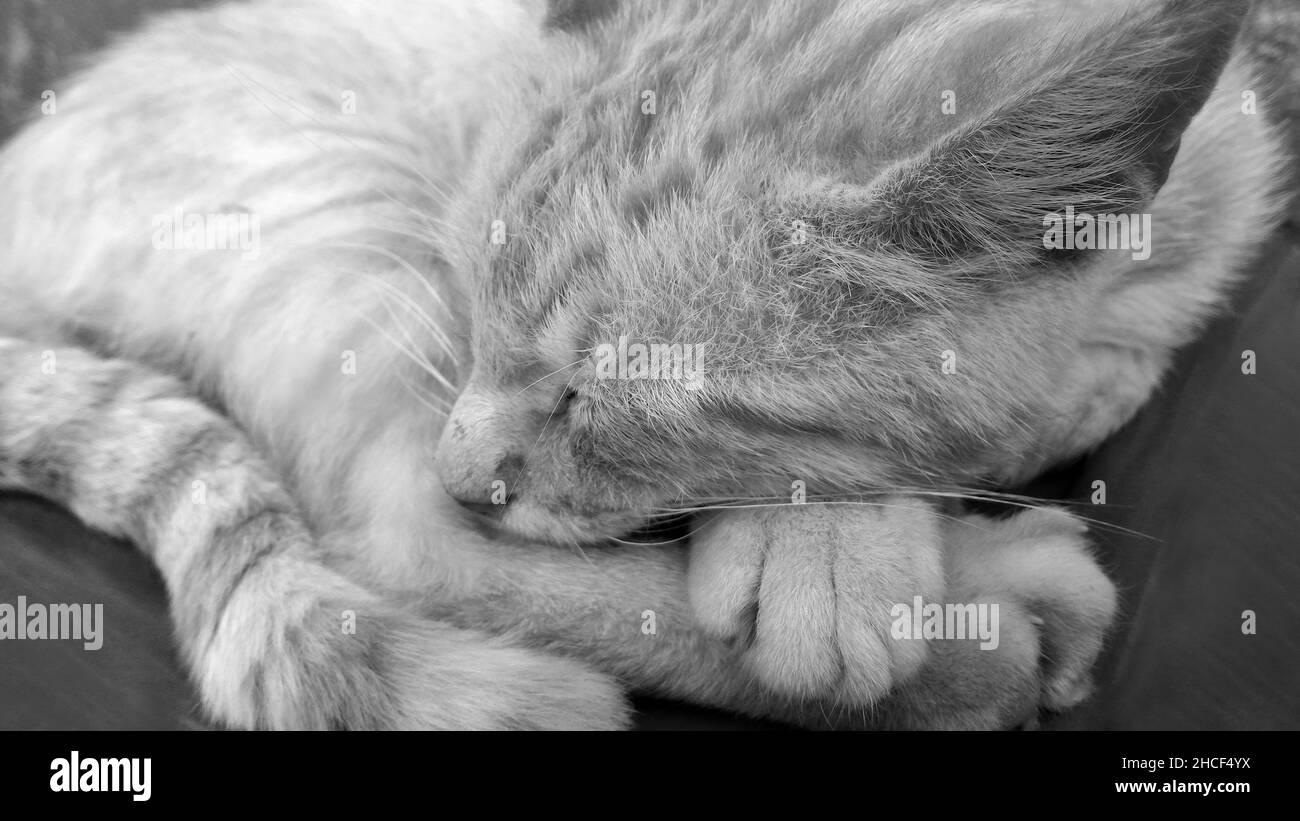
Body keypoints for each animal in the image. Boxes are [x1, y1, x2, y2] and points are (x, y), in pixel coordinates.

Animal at [0, 0, 1284, 732]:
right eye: (472, 299)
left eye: (604, 397)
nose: (472, 469)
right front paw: (838, 561)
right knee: (405, 537)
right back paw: (995, 627)